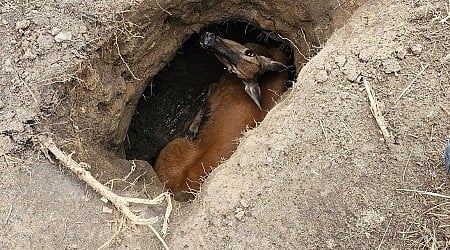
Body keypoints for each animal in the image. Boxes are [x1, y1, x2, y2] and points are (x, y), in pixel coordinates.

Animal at [155, 32, 288, 201]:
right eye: (249, 52)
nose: (209, 40)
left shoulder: (216, 90)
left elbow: (207, 96)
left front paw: (193, 128)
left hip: (174, 146)